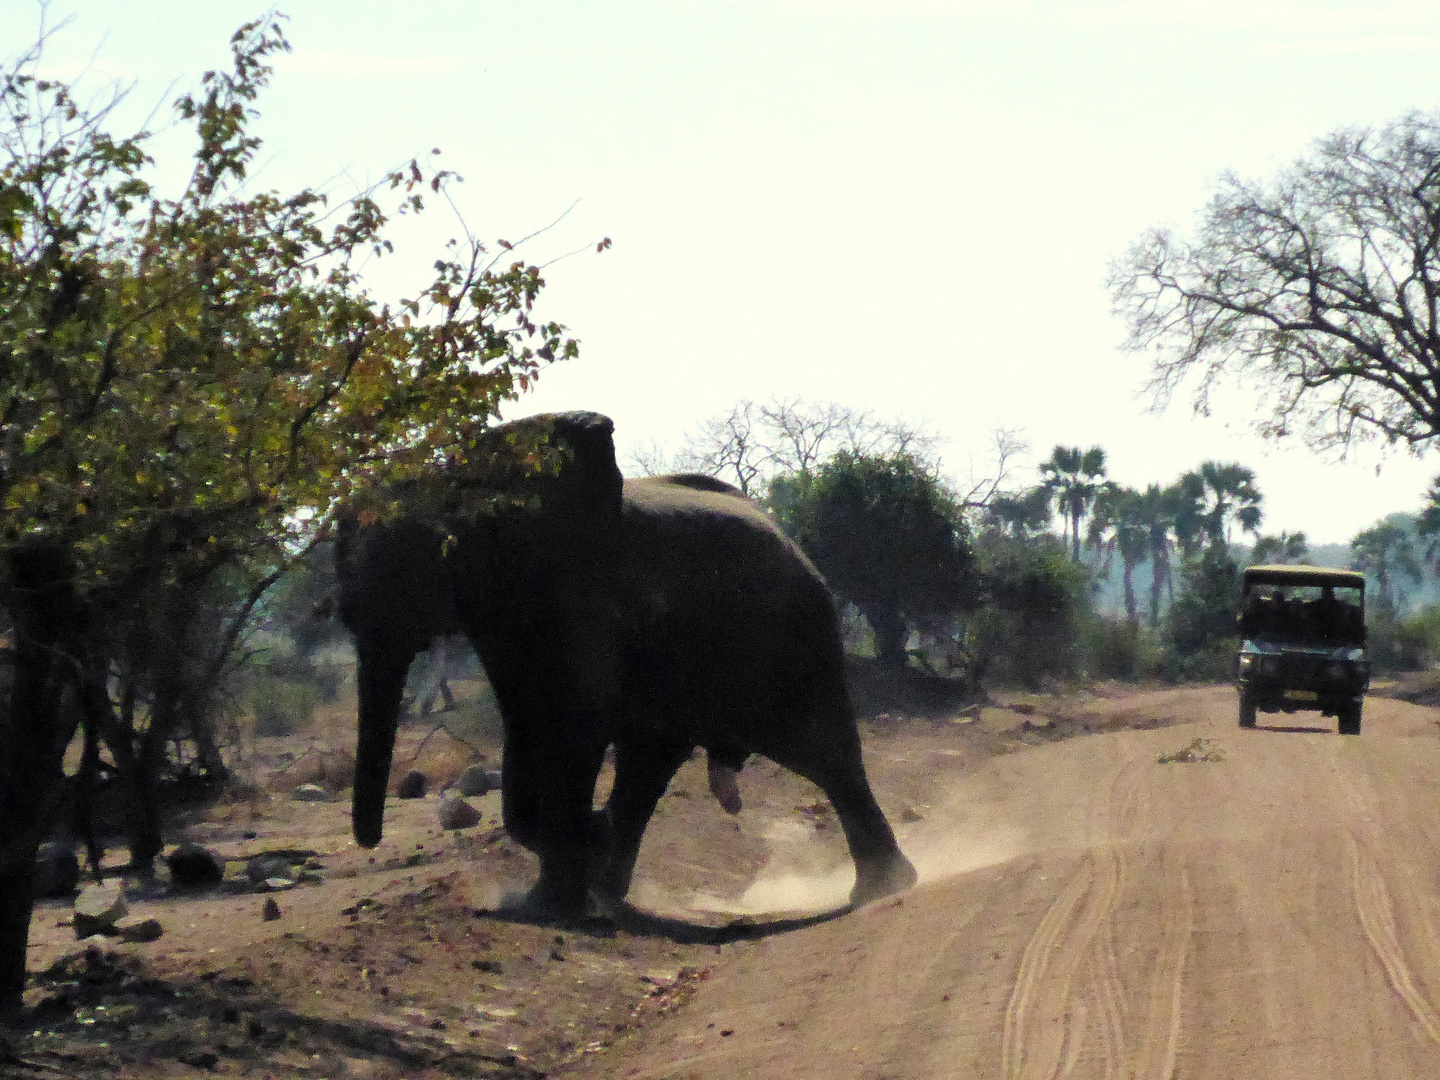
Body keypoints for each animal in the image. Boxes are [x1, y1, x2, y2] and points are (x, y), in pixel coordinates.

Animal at [334, 408, 910, 915]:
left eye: (418, 562)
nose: (370, 841)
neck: (468, 484)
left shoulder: (579, 599)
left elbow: (574, 724)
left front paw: (563, 886)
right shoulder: (507, 619)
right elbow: (527, 724)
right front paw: (566, 875)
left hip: (796, 640)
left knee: (823, 754)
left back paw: (884, 889)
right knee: (648, 768)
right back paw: (608, 892)